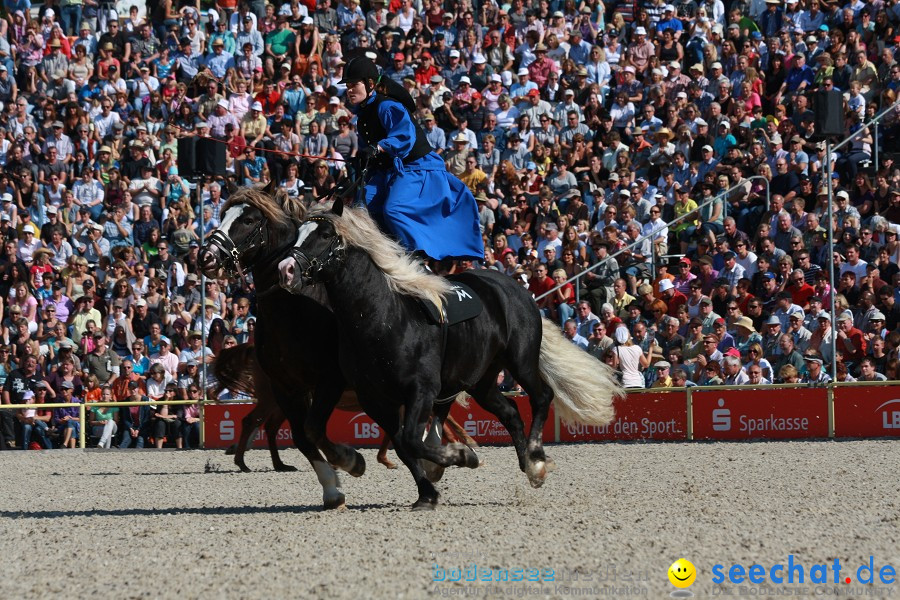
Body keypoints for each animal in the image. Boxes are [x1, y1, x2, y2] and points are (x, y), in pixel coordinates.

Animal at [199, 182, 364, 506]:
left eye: (248, 220)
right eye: (223, 215)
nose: (207, 257)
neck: (295, 308)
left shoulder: (329, 380)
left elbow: (313, 430)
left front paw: (348, 460)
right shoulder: (287, 387)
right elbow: (304, 436)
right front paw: (332, 485)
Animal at [278, 204, 624, 508]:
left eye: (324, 234)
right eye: (296, 233)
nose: (286, 270)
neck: (383, 317)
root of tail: (516, 289)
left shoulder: (421, 390)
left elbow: (411, 440)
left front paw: (460, 456)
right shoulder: (375, 400)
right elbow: (403, 446)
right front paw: (427, 492)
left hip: (521, 362)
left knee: (542, 397)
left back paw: (537, 460)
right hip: (482, 380)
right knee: (511, 412)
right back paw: (526, 462)